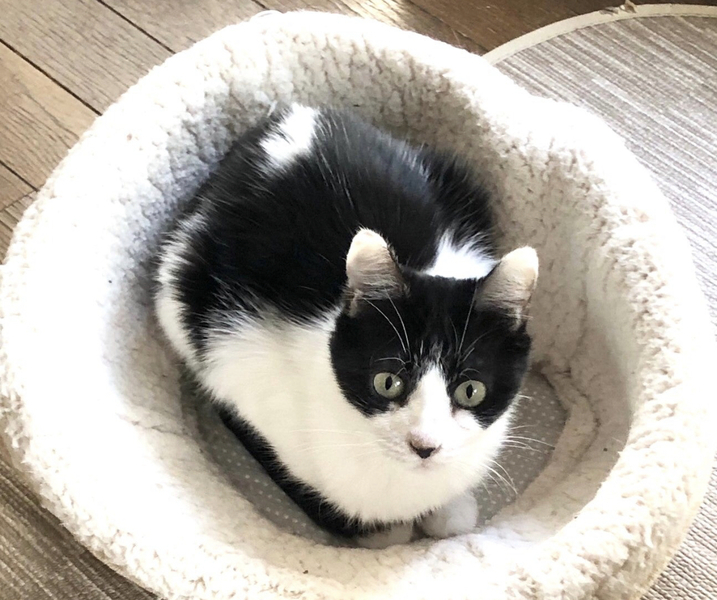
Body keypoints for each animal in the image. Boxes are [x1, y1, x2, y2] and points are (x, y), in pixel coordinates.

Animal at [154, 104, 538, 547]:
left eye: (471, 390)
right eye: (387, 382)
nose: (424, 445)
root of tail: (291, 113)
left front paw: (449, 507)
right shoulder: (241, 364)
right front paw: (377, 529)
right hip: (179, 284)